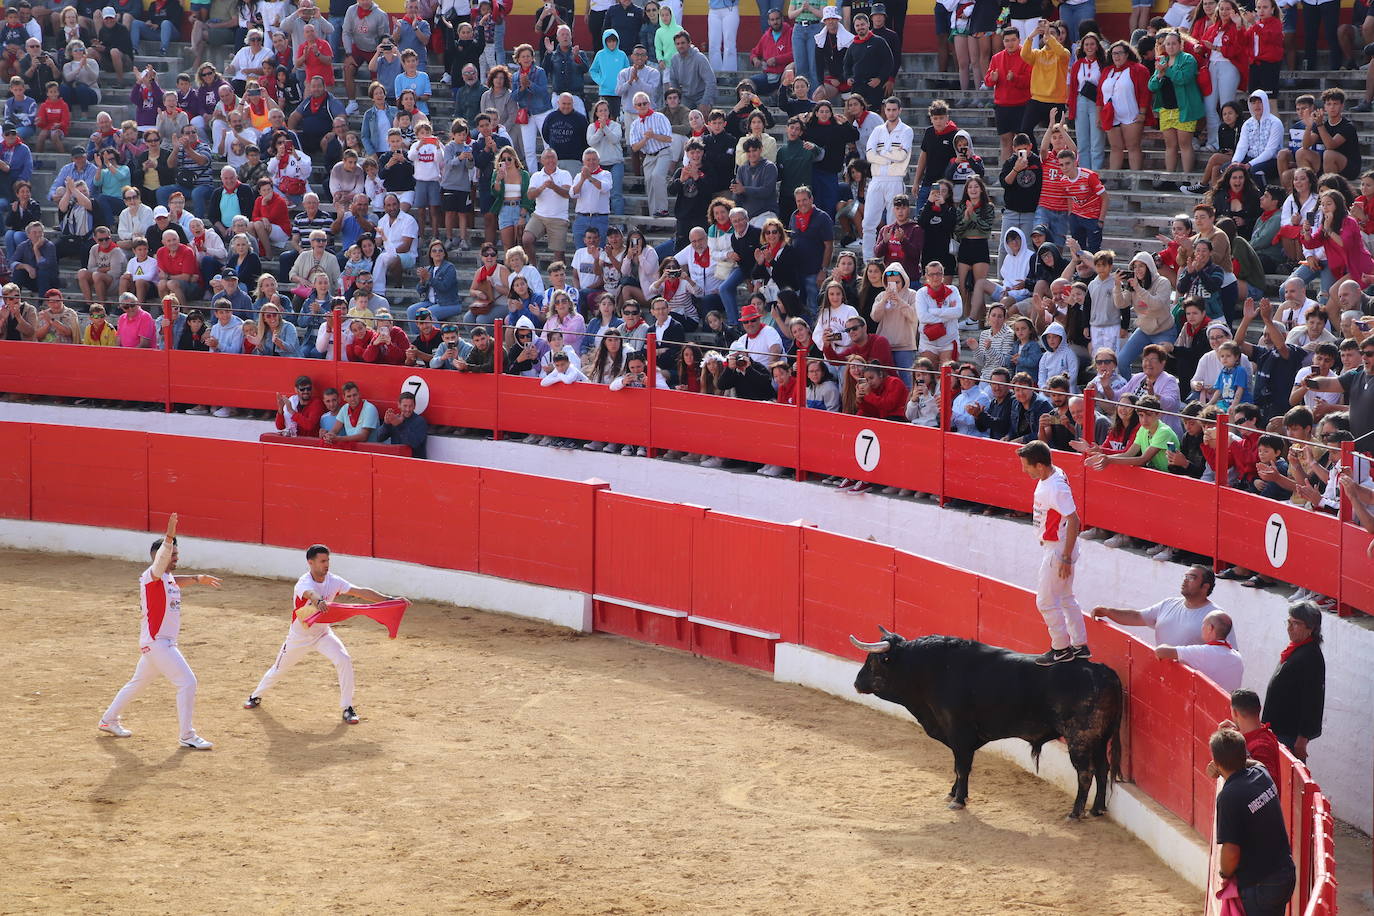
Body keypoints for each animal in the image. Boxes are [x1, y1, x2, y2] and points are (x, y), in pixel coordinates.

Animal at [846, 631, 1126, 818]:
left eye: (872, 661)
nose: (857, 683)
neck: (932, 669)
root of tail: (1104, 671)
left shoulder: (959, 732)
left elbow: (962, 767)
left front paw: (958, 800)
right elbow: (957, 767)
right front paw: (953, 793)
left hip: (1080, 737)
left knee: (1085, 772)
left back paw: (1075, 813)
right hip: (1099, 738)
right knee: (1103, 769)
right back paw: (1097, 809)